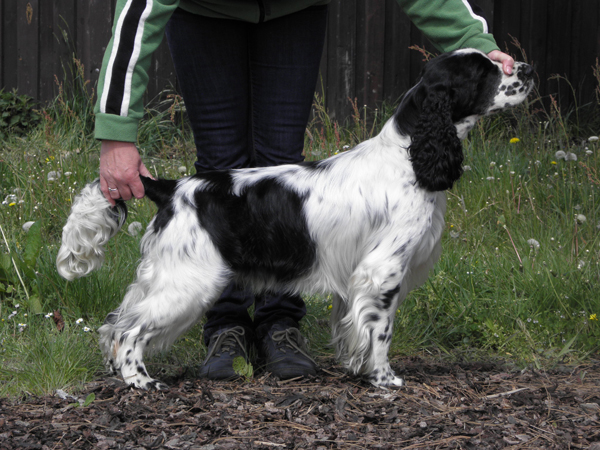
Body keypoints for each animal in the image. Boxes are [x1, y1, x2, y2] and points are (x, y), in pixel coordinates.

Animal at [57, 47, 536, 388]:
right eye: (484, 73)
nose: (528, 69)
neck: (408, 157)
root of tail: (172, 188)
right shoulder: (382, 271)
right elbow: (380, 332)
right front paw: (385, 380)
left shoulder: (356, 277)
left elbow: (353, 328)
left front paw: (356, 368)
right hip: (187, 282)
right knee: (129, 332)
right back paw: (140, 381)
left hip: (167, 275)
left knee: (116, 323)